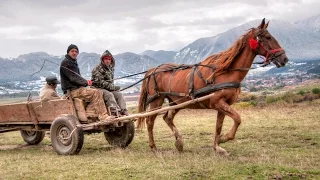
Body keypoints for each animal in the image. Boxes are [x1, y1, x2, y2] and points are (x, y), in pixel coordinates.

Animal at [136, 19, 288, 155]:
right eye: (268, 37)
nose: (284, 59)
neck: (226, 71)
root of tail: (154, 69)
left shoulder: (223, 105)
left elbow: (218, 126)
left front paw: (217, 146)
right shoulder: (218, 103)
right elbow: (237, 119)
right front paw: (224, 139)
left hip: (177, 101)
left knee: (167, 118)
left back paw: (179, 142)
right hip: (157, 100)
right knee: (150, 121)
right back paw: (154, 147)